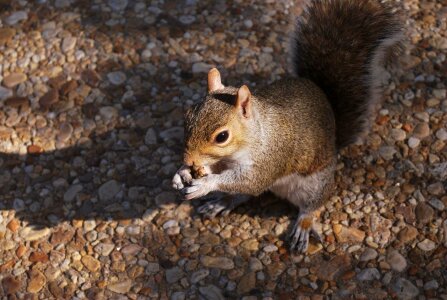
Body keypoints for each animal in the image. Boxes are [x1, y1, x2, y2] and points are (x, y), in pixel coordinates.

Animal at [172, 0, 402, 253]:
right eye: (187, 115)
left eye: (222, 136)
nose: (189, 160)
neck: (256, 134)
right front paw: (181, 173)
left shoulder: (271, 158)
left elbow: (250, 181)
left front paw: (205, 184)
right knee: (243, 195)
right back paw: (223, 202)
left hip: (315, 184)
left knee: (310, 204)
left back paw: (303, 225)